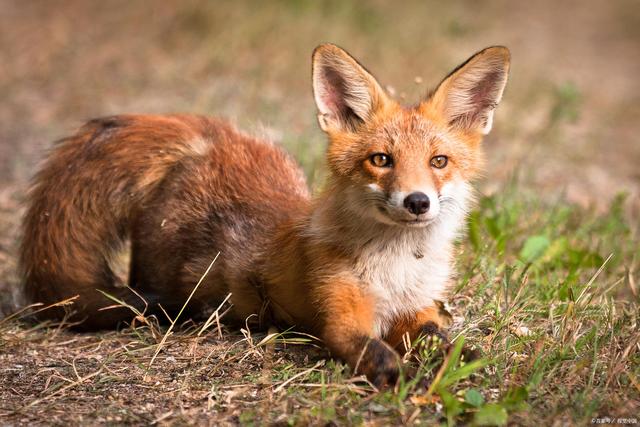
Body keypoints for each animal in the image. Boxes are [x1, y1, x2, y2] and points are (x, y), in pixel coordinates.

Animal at [21, 44, 510, 392]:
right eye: (381, 160)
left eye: (439, 161)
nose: (417, 202)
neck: (397, 267)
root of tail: (210, 140)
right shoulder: (341, 316)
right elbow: (373, 351)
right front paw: (406, 379)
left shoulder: (418, 307)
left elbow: (440, 338)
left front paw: (463, 359)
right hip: (171, 283)